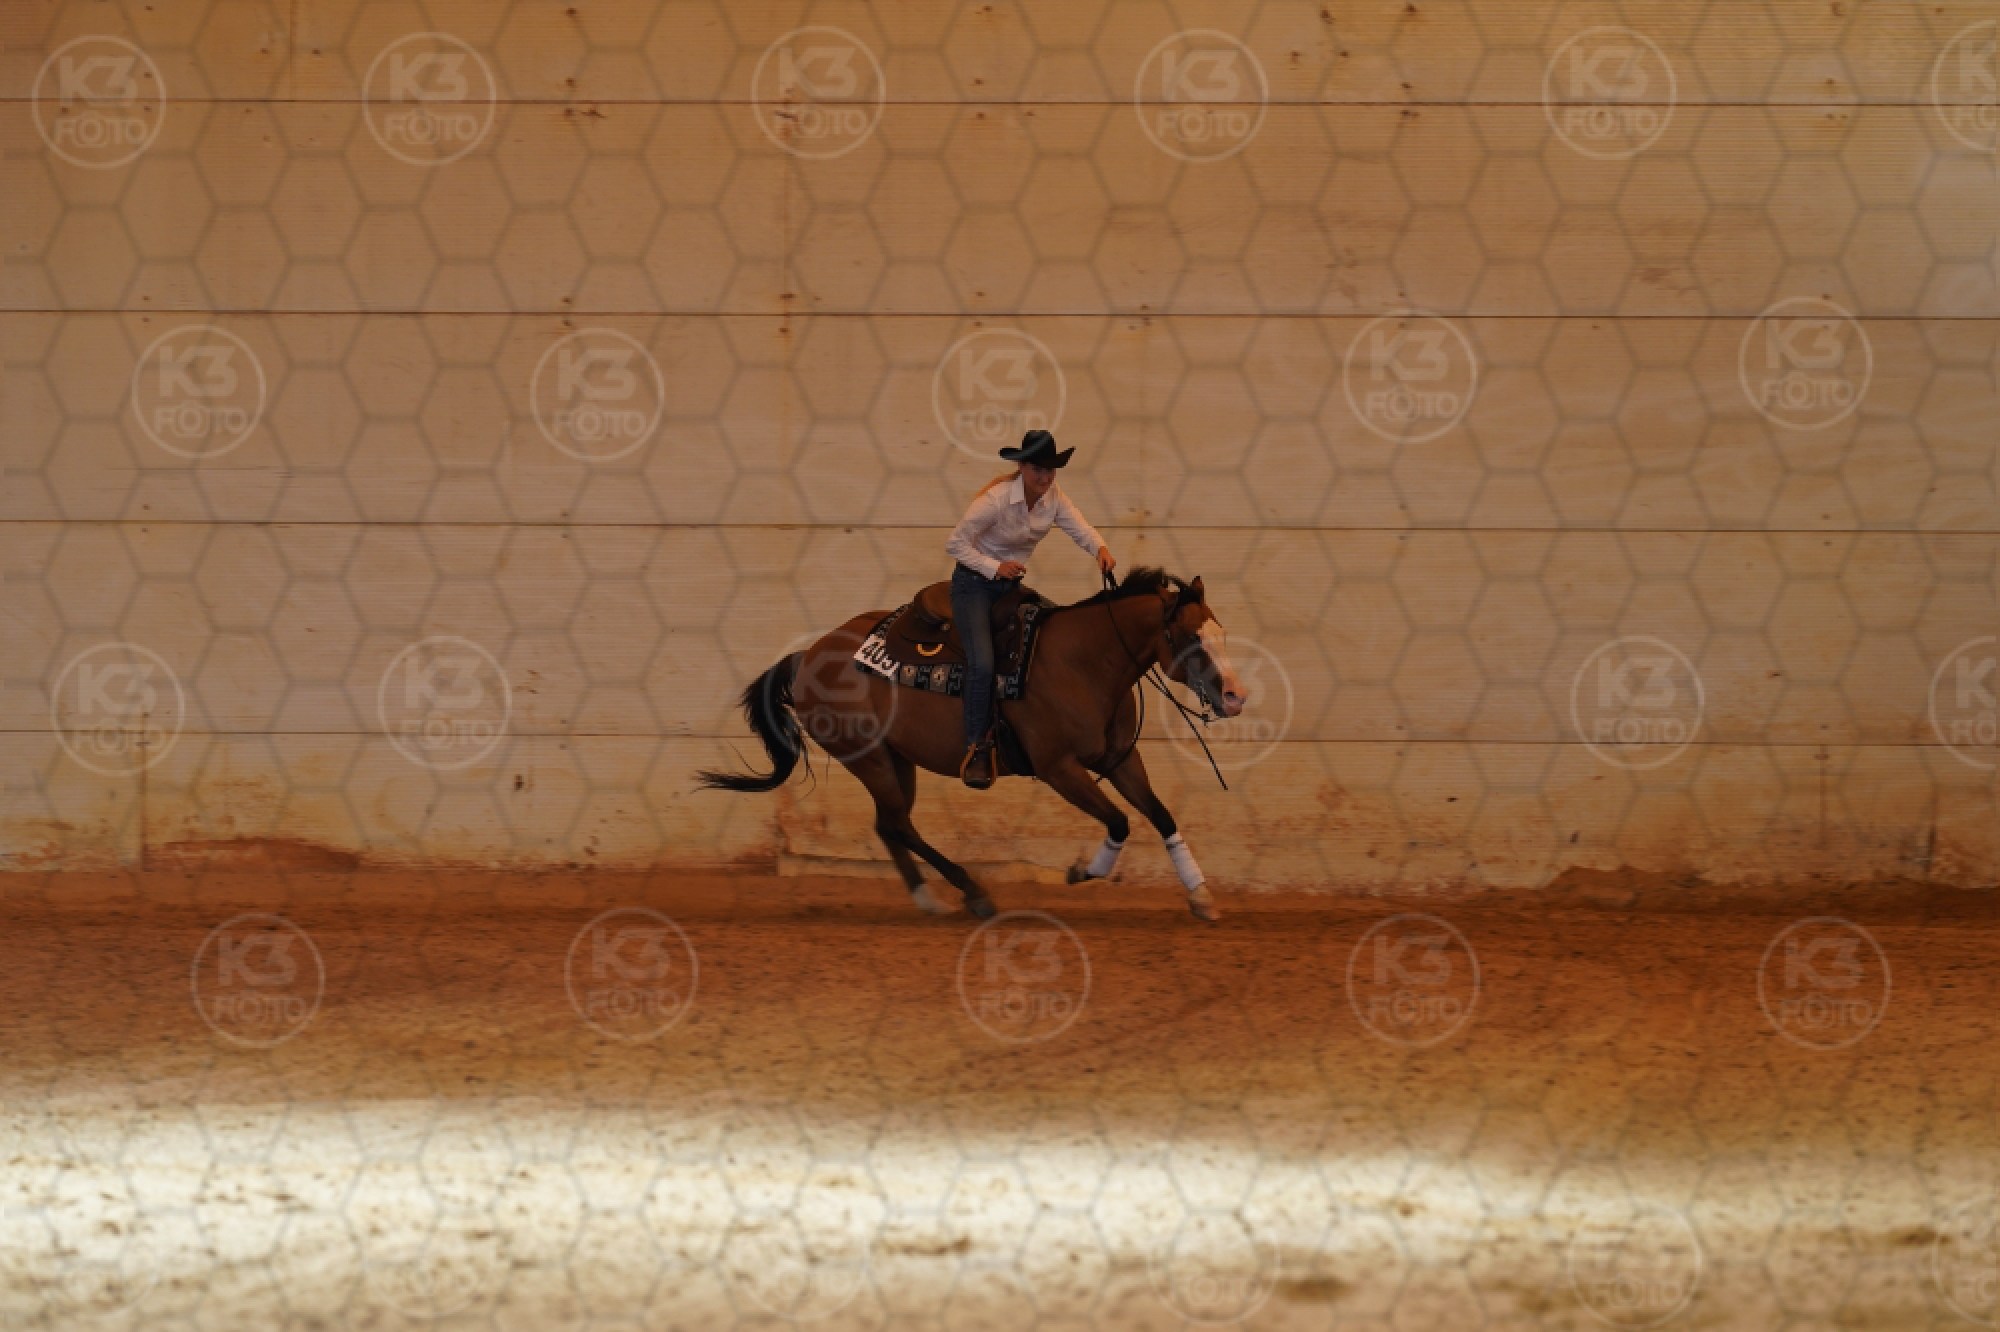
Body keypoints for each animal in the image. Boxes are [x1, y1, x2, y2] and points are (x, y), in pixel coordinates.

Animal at [697, 568, 1249, 922]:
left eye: (1221, 632)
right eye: (1191, 638)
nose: (1235, 697)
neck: (1082, 661)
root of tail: (807, 655)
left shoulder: (1119, 759)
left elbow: (1160, 816)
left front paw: (1201, 897)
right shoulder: (1059, 769)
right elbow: (1119, 821)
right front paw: (1079, 872)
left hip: (896, 759)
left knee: (889, 826)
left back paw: (930, 900)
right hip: (869, 757)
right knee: (898, 824)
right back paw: (974, 893)